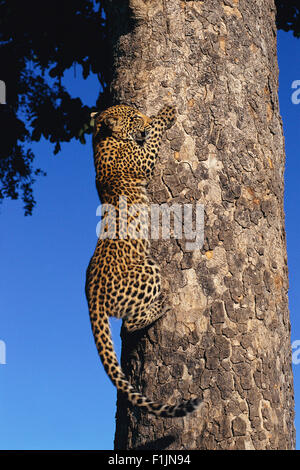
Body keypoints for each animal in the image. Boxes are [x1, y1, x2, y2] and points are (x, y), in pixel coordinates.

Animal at [85, 103, 200, 418]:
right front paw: (165, 113)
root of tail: (92, 297)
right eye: (136, 118)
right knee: (128, 324)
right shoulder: (143, 159)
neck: (103, 138)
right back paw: (161, 305)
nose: (145, 120)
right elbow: (154, 137)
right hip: (148, 268)